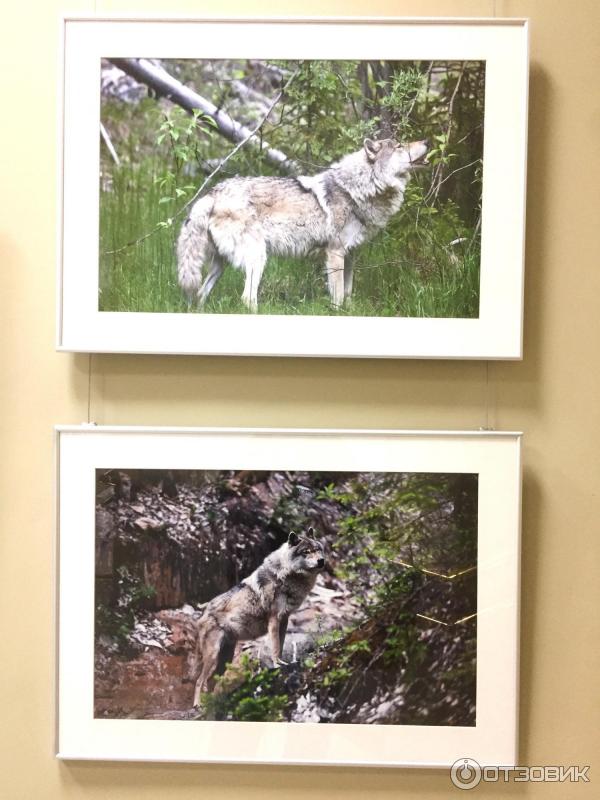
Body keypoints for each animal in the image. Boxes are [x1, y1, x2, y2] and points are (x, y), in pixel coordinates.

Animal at [176, 138, 428, 312]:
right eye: (399, 145)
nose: (427, 141)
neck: (358, 189)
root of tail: (213, 192)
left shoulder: (350, 255)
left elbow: (347, 294)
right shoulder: (335, 253)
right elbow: (337, 297)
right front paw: (337, 313)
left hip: (221, 266)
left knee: (201, 293)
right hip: (258, 258)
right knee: (247, 298)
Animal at [192, 532, 326, 708]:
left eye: (318, 549)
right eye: (306, 551)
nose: (321, 560)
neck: (286, 576)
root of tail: (202, 614)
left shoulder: (284, 620)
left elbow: (280, 646)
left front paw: (281, 664)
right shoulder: (274, 619)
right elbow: (275, 647)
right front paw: (277, 665)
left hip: (225, 659)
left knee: (211, 681)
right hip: (213, 655)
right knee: (199, 681)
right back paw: (198, 705)